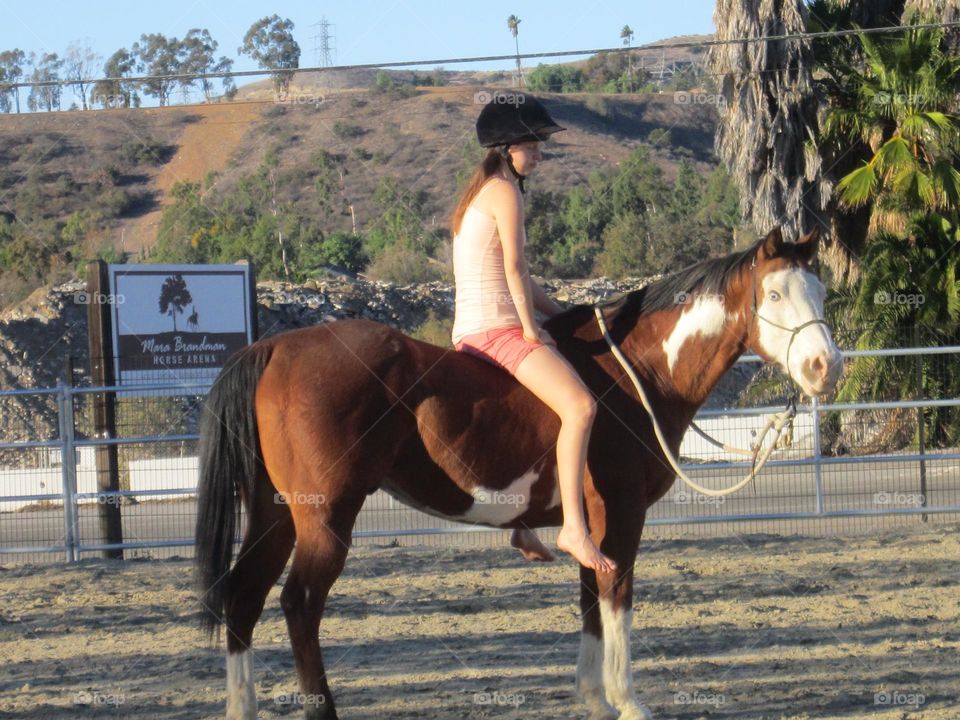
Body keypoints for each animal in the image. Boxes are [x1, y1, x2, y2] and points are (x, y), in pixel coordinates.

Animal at [195, 226, 842, 720]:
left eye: (820, 291)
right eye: (775, 293)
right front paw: (627, 702)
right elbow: (617, 597)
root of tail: (274, 349)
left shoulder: (590, 524)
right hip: (325, 518)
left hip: (277, 514)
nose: (825, 367)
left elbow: (590, 600)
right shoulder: (622, 514)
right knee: (299, 603)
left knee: (243, 595)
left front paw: (595, 699)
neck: (635, 372)